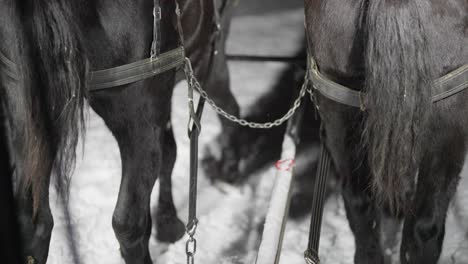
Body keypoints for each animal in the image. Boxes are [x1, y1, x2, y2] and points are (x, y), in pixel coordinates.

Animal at [0, 0, 239, 262]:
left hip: (28, 116)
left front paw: (165, 221)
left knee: (34, 220)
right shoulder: (207, 56)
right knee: (127, 223)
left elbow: (168, 153)